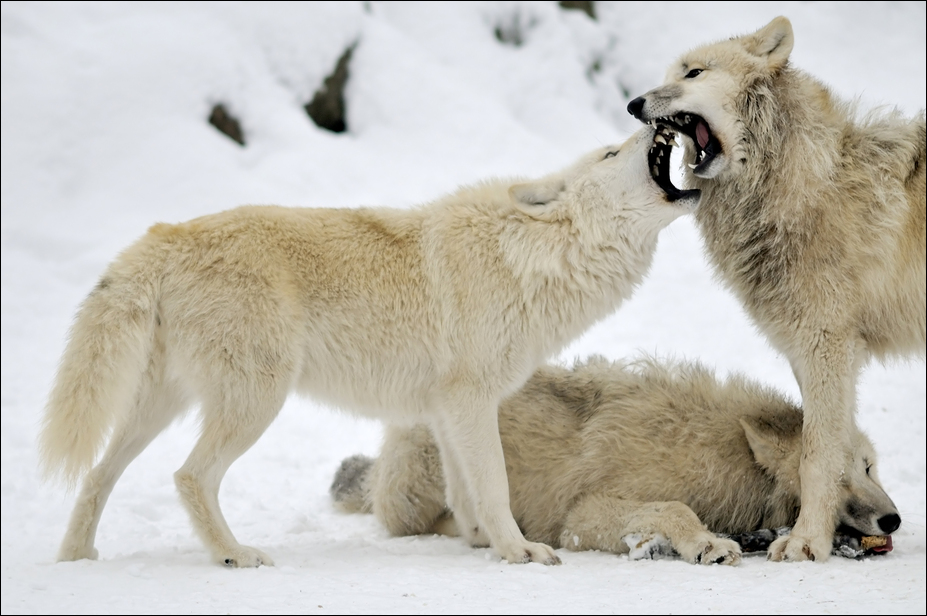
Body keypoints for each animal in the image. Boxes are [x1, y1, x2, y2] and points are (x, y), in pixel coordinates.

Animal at [39, 126, 698, 567]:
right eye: (611, 153)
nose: (653, 120)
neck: (532, 257)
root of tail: (163, 236)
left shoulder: (446, 410)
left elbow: (465, 491)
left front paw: (478, 542)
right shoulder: (470, 399)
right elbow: (494, 485)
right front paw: (518, 550)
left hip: (164, 406)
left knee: (97, 474)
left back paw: (76, 557)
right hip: (255, 402)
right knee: (188, 476)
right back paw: (234, 555)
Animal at [331, 356, 900, 565]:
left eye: (869, 468)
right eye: (837, 479)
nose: (893, 519)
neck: (721, 455)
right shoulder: (581, 516)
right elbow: (674, 509)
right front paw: (706, 543)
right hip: (421, 491)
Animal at [626, 16, 925, 562]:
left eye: (694, 72)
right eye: (671, 73)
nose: (634, 104)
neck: (802, 185)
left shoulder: (828, 346)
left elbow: (818, 455)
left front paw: (807, 543)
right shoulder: (807, 353)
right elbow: (824, 448)